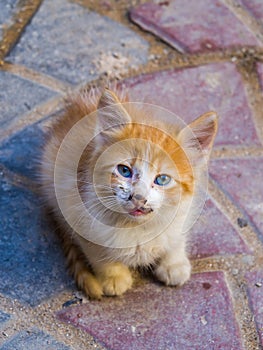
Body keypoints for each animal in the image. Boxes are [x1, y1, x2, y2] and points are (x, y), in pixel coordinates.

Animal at [40, 87, 219, 298]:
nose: (139, 198)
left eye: (162, 179)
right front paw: (114, 277)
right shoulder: (74, 207)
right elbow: (97, 252)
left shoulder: (184, 210)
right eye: (124, 171)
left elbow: (176, 236)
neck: (137, 227)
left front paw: (174, 263)